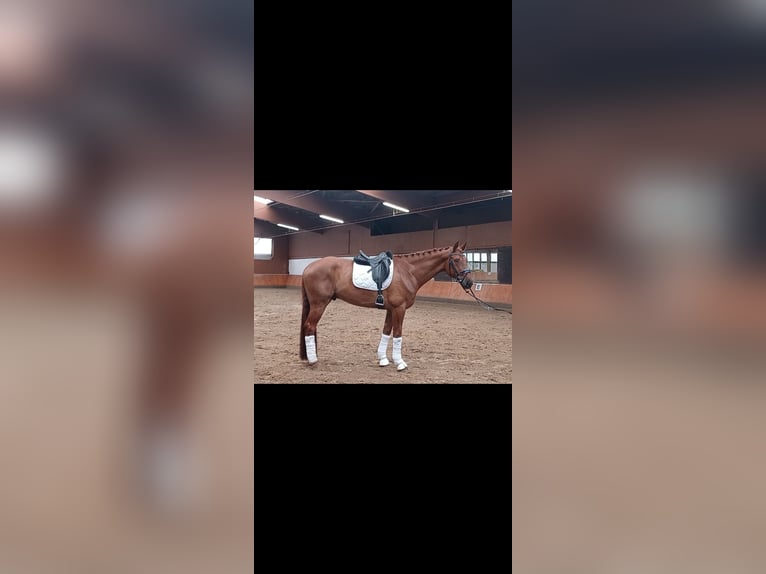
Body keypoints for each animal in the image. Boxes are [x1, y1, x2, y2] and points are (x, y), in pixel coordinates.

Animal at [300, 241, 473, 370]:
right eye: (456, 260)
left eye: (466, 259)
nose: (469, 283)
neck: (408, 271)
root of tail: (308, 267)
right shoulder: (399, 309)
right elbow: (397, 333)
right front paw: (400, 363)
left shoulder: (391, 309)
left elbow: (386, 331)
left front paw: (383, 359)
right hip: (319, 304)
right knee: (309, 326)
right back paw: (313, 360)